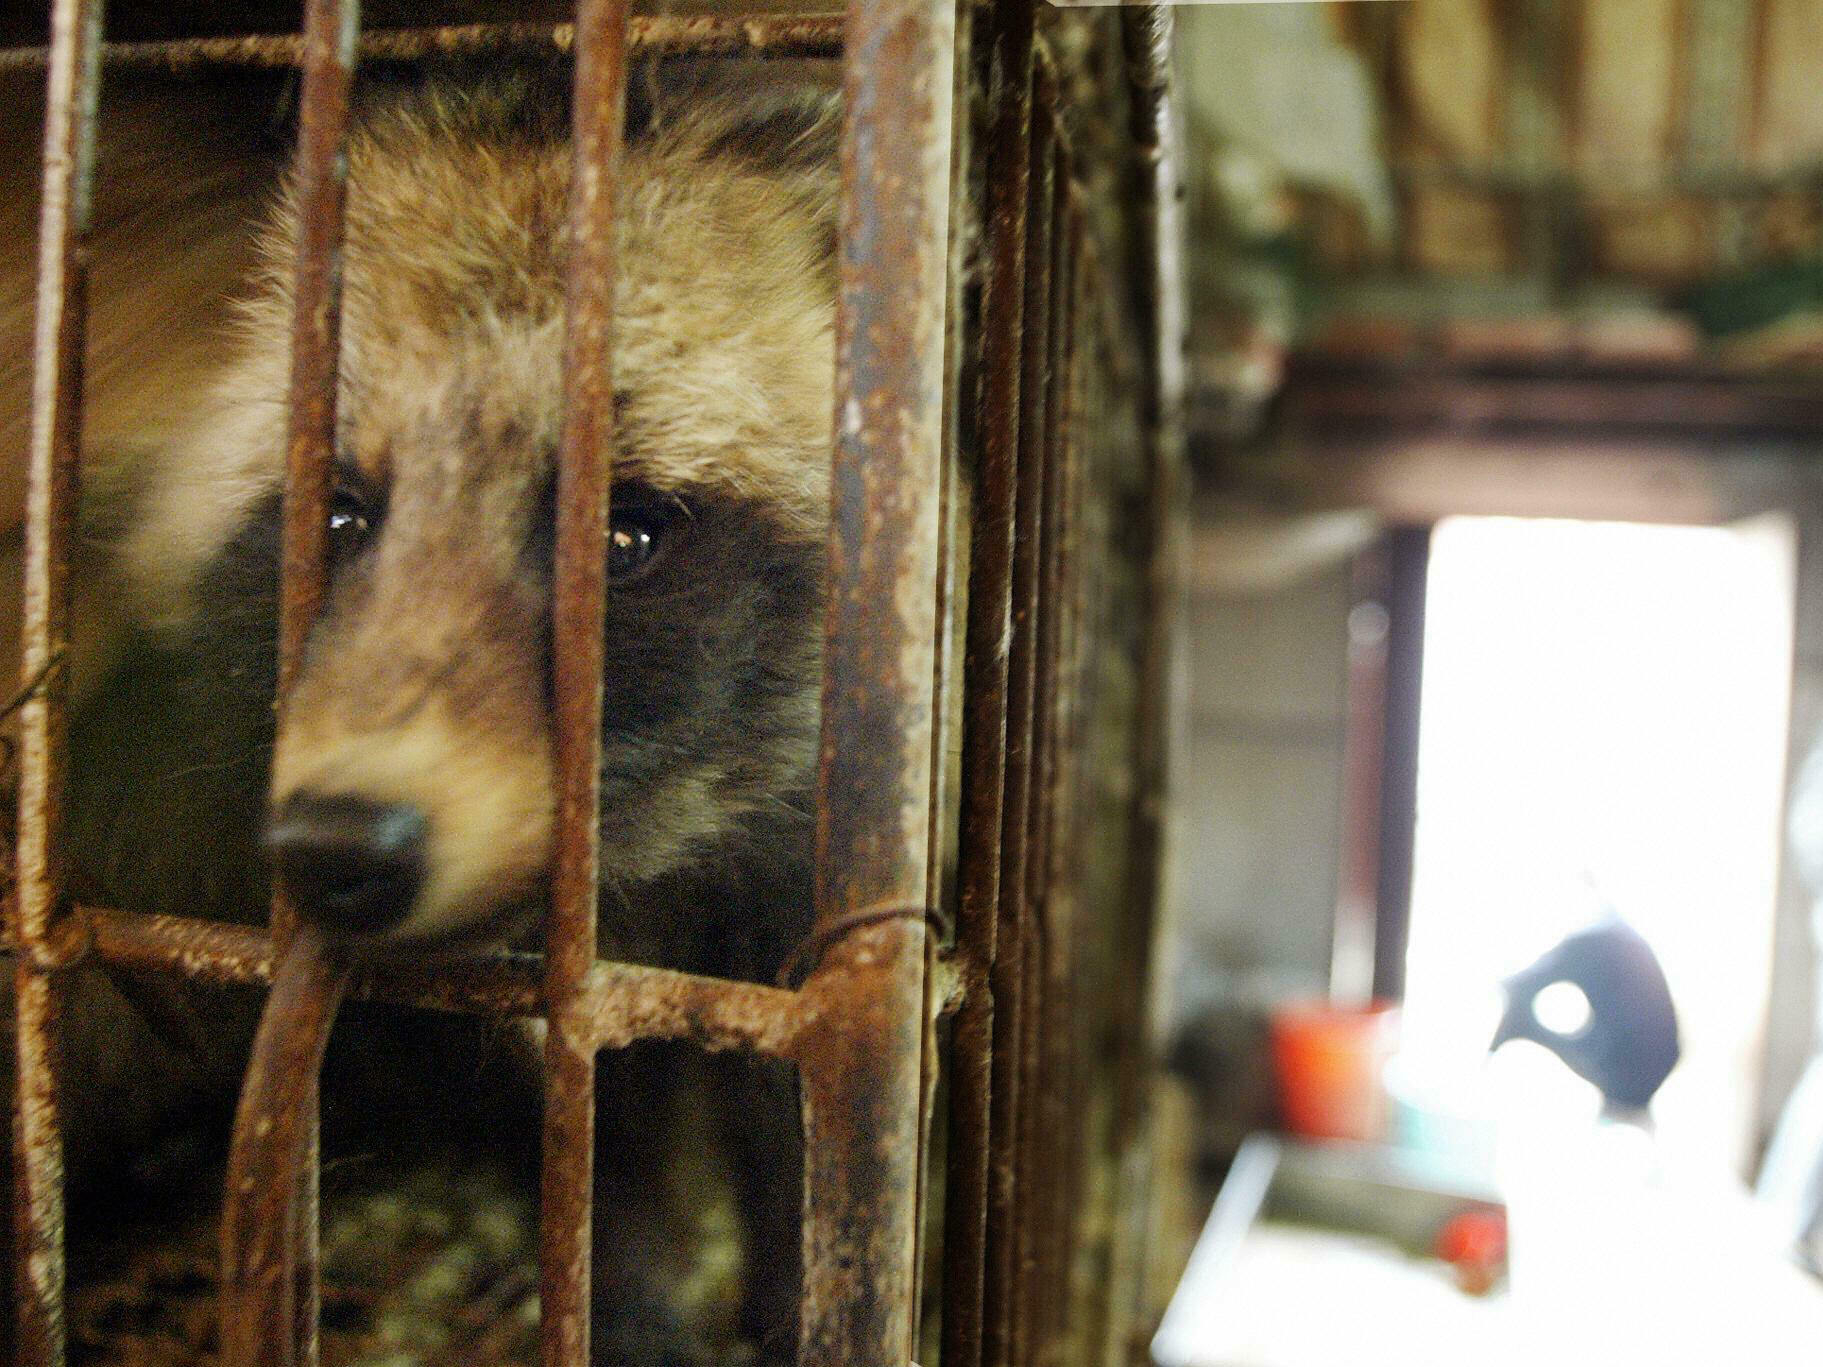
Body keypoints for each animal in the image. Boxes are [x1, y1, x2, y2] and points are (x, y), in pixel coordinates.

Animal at [1, 58, 838, 1363]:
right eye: (338, 516)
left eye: (625, 534)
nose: (338, 843)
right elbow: (602, 1131)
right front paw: (624, 1288)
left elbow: (789, 1101)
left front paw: (794, 1288)